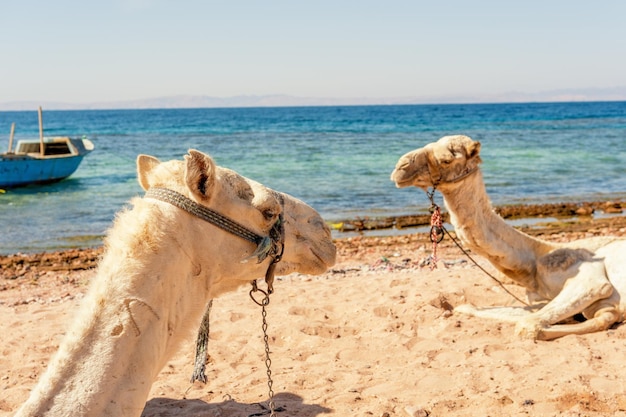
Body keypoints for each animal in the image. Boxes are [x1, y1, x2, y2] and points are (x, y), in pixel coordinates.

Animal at [390, 135, 624, 340]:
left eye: (446, 159)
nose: (400, 167)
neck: (536, 260)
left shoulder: (590, 280)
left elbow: (527, 324)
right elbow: (472, 308)